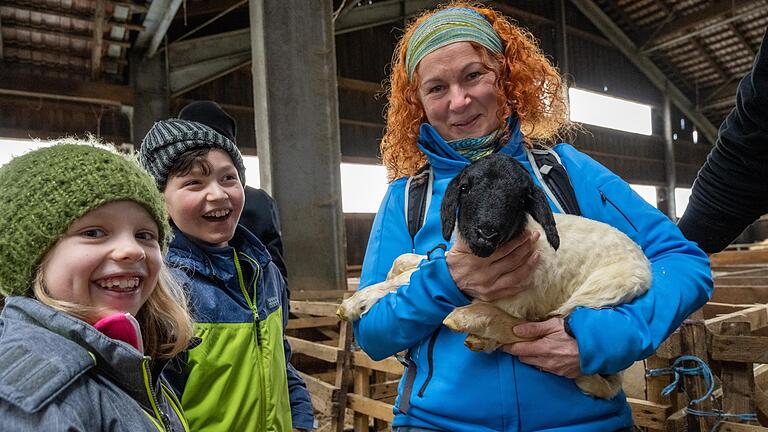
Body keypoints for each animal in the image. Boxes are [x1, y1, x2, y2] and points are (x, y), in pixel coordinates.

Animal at [340, 154, 652, 400]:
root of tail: (645, 269)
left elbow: (407, 279)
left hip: (597, 289)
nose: (487, 233)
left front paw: (353, 304)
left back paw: (471, 320)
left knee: (533, 326)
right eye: (465, 187)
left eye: (521, 197)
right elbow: (409, 264)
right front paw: (381, 281)